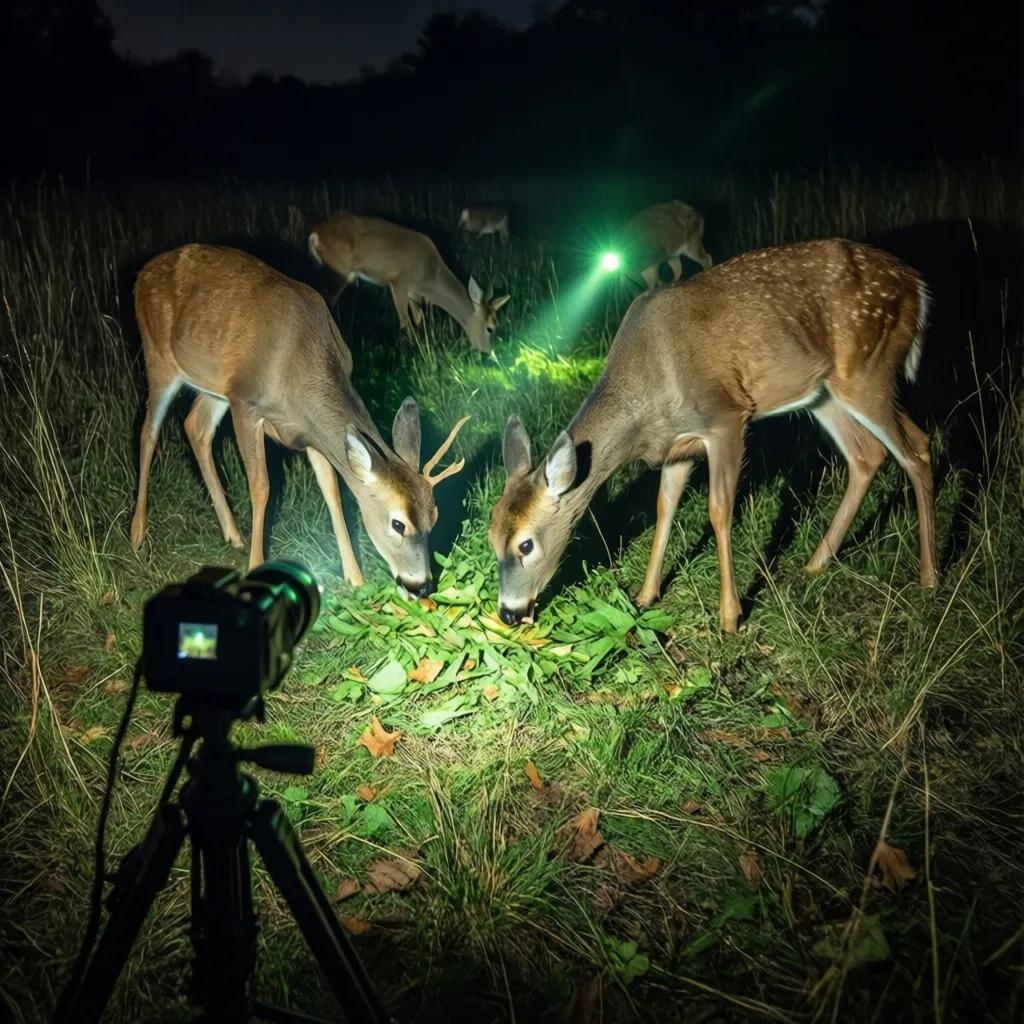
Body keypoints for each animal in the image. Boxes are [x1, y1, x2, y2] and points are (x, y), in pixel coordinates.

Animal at [129, 243, 470, 598]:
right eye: (398, 523)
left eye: (434, 517)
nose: (422, 586)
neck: (297, 365)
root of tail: (144, 272)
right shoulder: (246, 403)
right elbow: (261, 487)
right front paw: (255, 567)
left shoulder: (310, 433)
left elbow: (332, 490)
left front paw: (355, 576)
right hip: (159, 357)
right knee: (149, 432)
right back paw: (137, 533)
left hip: (216, 388)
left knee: (195, 426)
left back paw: (233, 535)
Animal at [307, 212, 509, 355]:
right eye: (490, 328)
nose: (488, 352)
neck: (431, 277)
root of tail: (314, 234)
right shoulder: (399, 281)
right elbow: (405, 322)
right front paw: (411, 351)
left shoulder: (414, 292)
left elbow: (420, 321)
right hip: (338, 271)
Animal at [488, 239, 938, 633]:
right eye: (491, 537)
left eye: (525, 545)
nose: (509, 613)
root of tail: (917, 285)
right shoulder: (677, 446)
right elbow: (664, 508)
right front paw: (645, 596)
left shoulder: (725, 417)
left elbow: (720, 511)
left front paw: (730, 616)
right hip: (822, 392)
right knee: (868, 454)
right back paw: (816, 563)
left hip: (868, 369)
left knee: (917, 448)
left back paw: (930, 576)